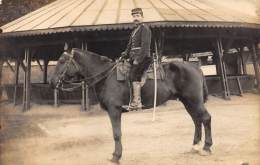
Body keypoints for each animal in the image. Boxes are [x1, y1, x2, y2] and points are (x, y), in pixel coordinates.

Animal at [49, 48, 212, 164]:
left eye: (62, 61)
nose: (52, 82)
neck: (106, 76)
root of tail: (195, 67)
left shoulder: (114, 110)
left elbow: (116, 134)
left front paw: (116, 156)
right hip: (188, 102)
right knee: (196, 120)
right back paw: (195, 146)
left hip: (194, 101)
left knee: (205, 118)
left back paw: (206, 147)